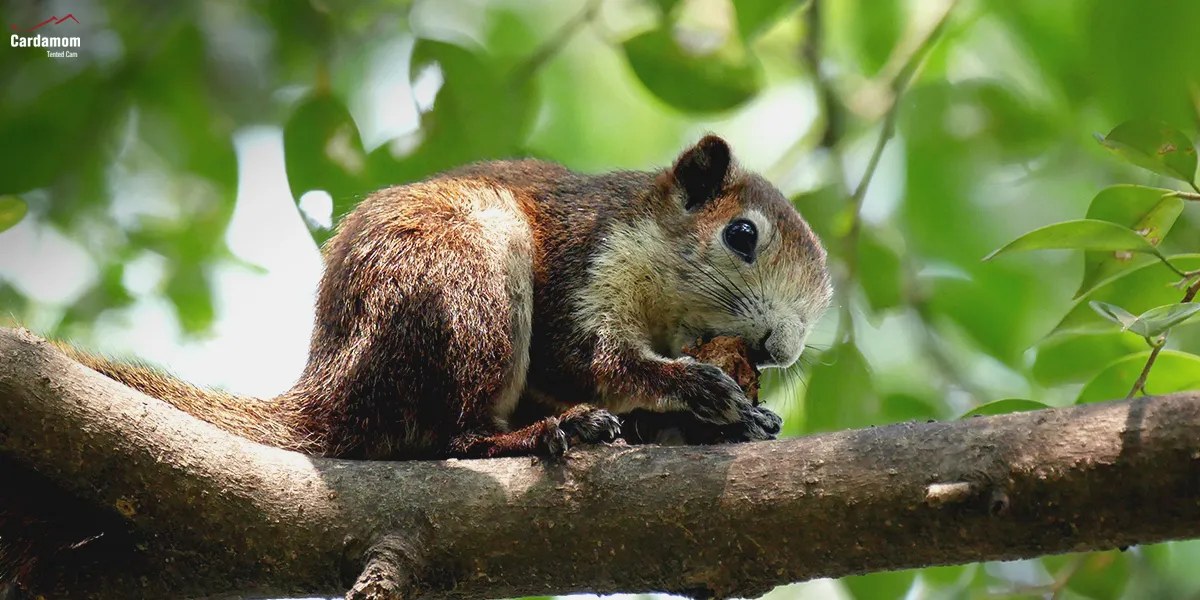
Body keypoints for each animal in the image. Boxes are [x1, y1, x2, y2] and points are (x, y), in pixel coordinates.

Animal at [62, 135, 832, 459]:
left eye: (822, 300)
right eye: (741, 234)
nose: (779, 349)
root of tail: (332, 388)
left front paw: (739, 419)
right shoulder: (582, 264)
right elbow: (584, 360)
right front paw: (691, 387)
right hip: (466, 283)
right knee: (455, 434)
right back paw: (543, 434)